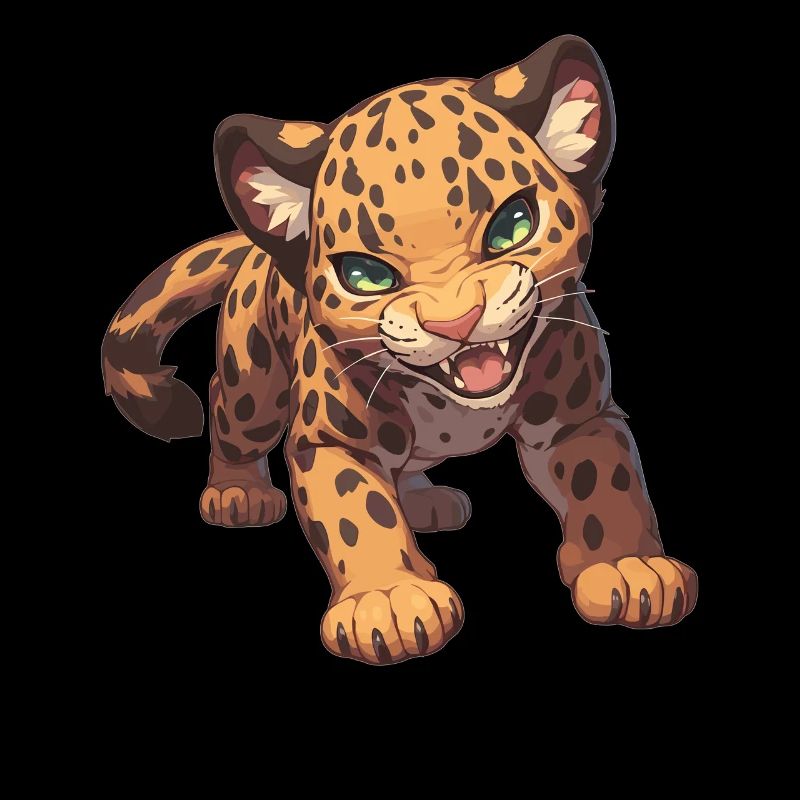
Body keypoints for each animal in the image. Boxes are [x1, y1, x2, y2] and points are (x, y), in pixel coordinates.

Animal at [102, 35, 698, 665]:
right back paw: (238, 494)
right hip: (253, 385)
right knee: (229, 408)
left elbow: (606, 480)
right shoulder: (333, 439)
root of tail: (256, 248)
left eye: (513, 226)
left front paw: (628, 566)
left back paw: (425, 502)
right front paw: (387, 601)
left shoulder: (576, 414)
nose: (455, 321)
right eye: (366, 276)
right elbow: (358, 512)